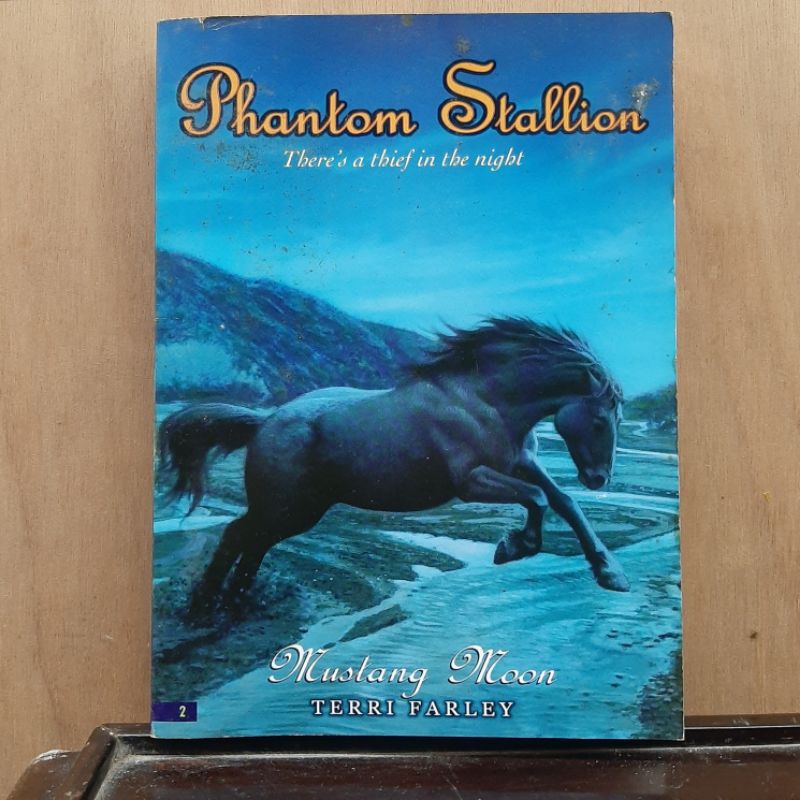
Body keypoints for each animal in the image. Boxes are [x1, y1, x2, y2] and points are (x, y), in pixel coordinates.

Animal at [159, 317, 630, 620]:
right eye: (600, 420)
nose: (599, 478)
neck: (484, 401)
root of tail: (264, 421)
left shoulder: (523, 462)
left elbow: (563, 501)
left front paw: (612, 574)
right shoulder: (472, 481)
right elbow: (537, 499)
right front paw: (514, 547)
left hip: (297, 512)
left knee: (253, 542)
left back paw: (233, 604)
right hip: (285, 507)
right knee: (237, 534)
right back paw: (203, 608)